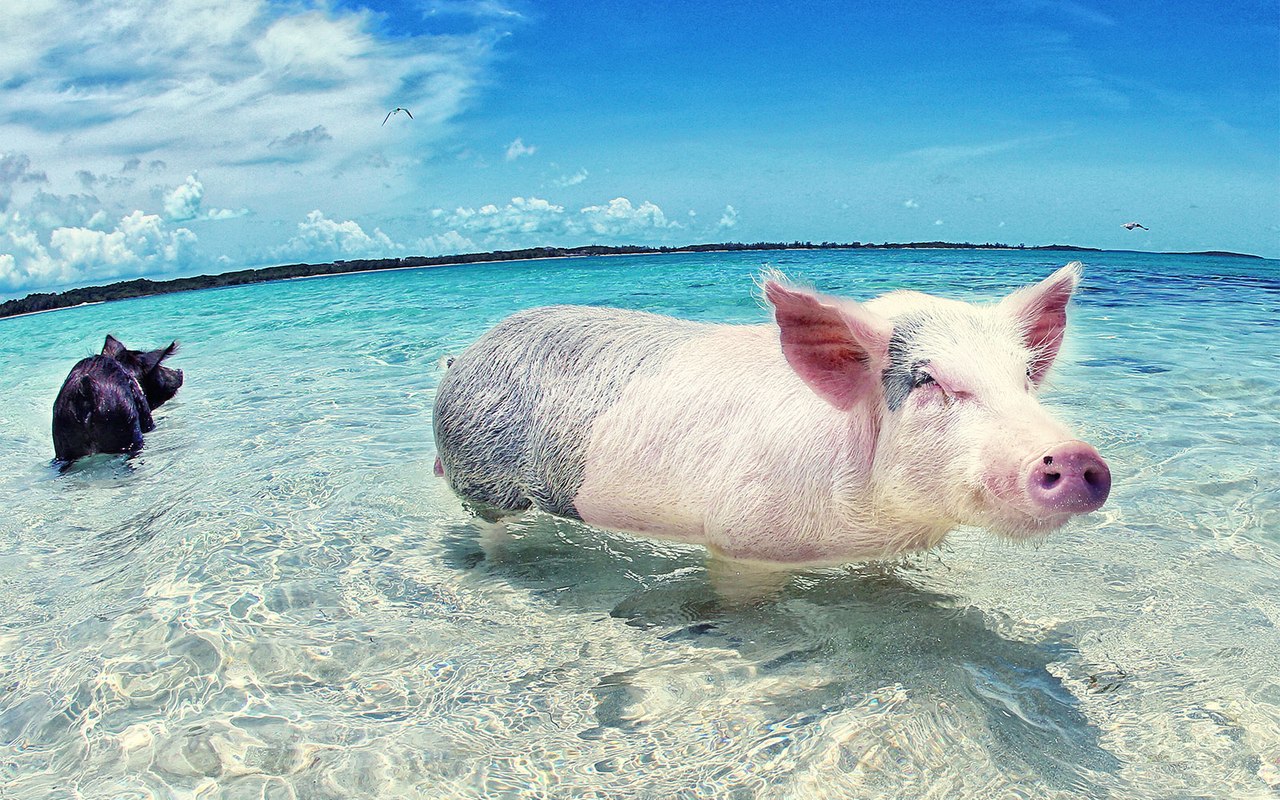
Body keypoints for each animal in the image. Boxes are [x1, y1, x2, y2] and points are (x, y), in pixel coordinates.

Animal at [432, 262, 1111, 560]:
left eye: (1023, 380)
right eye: (931, 382)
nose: (1077, 456)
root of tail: (462, 357)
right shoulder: (741, 536)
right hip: (480, 475)